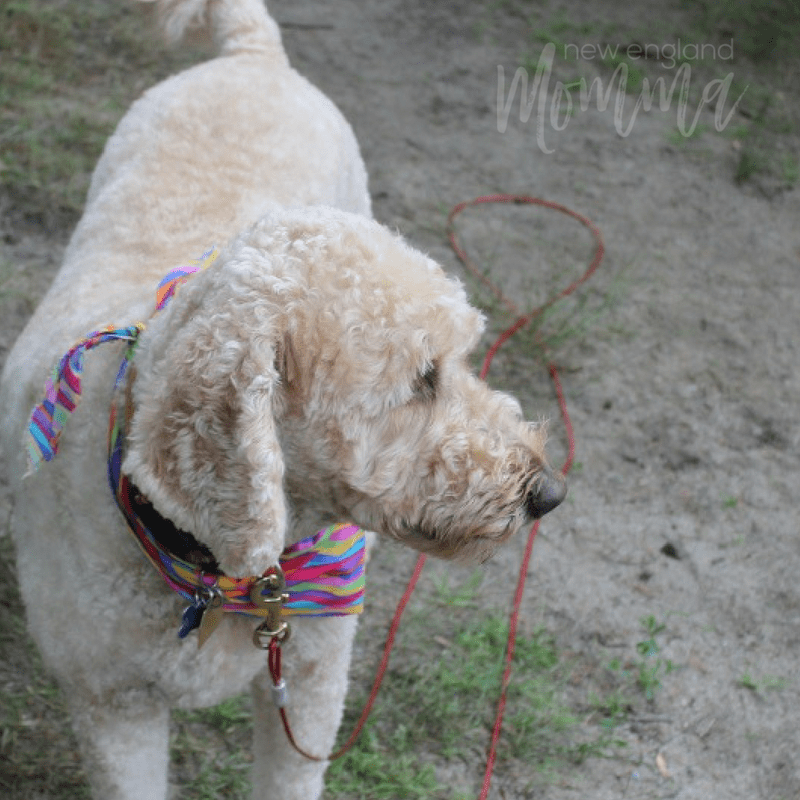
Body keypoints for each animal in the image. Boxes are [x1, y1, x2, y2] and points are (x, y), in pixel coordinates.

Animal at [0, 1, 564, 800]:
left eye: (463, 358)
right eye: (421, 380)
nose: (547, 492)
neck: (221, 566)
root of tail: (254, 55)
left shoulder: (313, 677)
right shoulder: (112, 704)